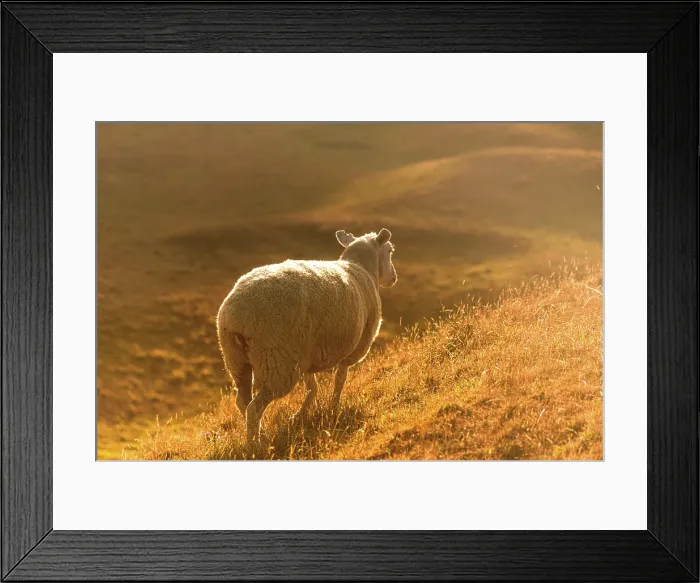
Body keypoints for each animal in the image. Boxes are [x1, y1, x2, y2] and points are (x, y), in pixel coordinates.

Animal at [216, 228, 397, 443]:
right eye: (390, 250)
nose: (393, 278)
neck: (362, 268)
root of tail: (237, 316)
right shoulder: (351, 349)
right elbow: (340, 379)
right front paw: (334, 406)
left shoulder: (308, 355)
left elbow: (312, 387)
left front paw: (299, 415)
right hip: (278, 362)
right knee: (254, 408)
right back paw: (255, 444)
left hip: (237, 360)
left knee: (242, 402)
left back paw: (260, 433)